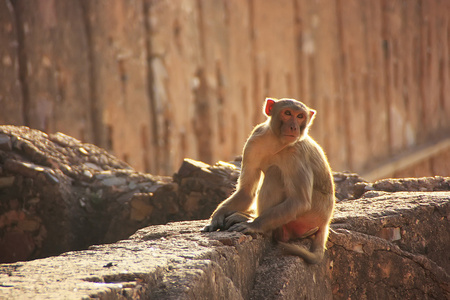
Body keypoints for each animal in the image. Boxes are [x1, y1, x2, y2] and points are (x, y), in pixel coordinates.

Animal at [203, 97, 334, 264]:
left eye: (300, 116)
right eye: (287, 113)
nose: (293, 127)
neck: (276, 142)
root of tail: (325, 222)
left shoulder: (297, 153)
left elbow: (300, 201)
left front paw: (254, 224)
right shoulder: (253, 142)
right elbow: (246, 191)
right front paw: (217, 216)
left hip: (309, 218)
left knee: (275, 173)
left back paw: (255, 222)